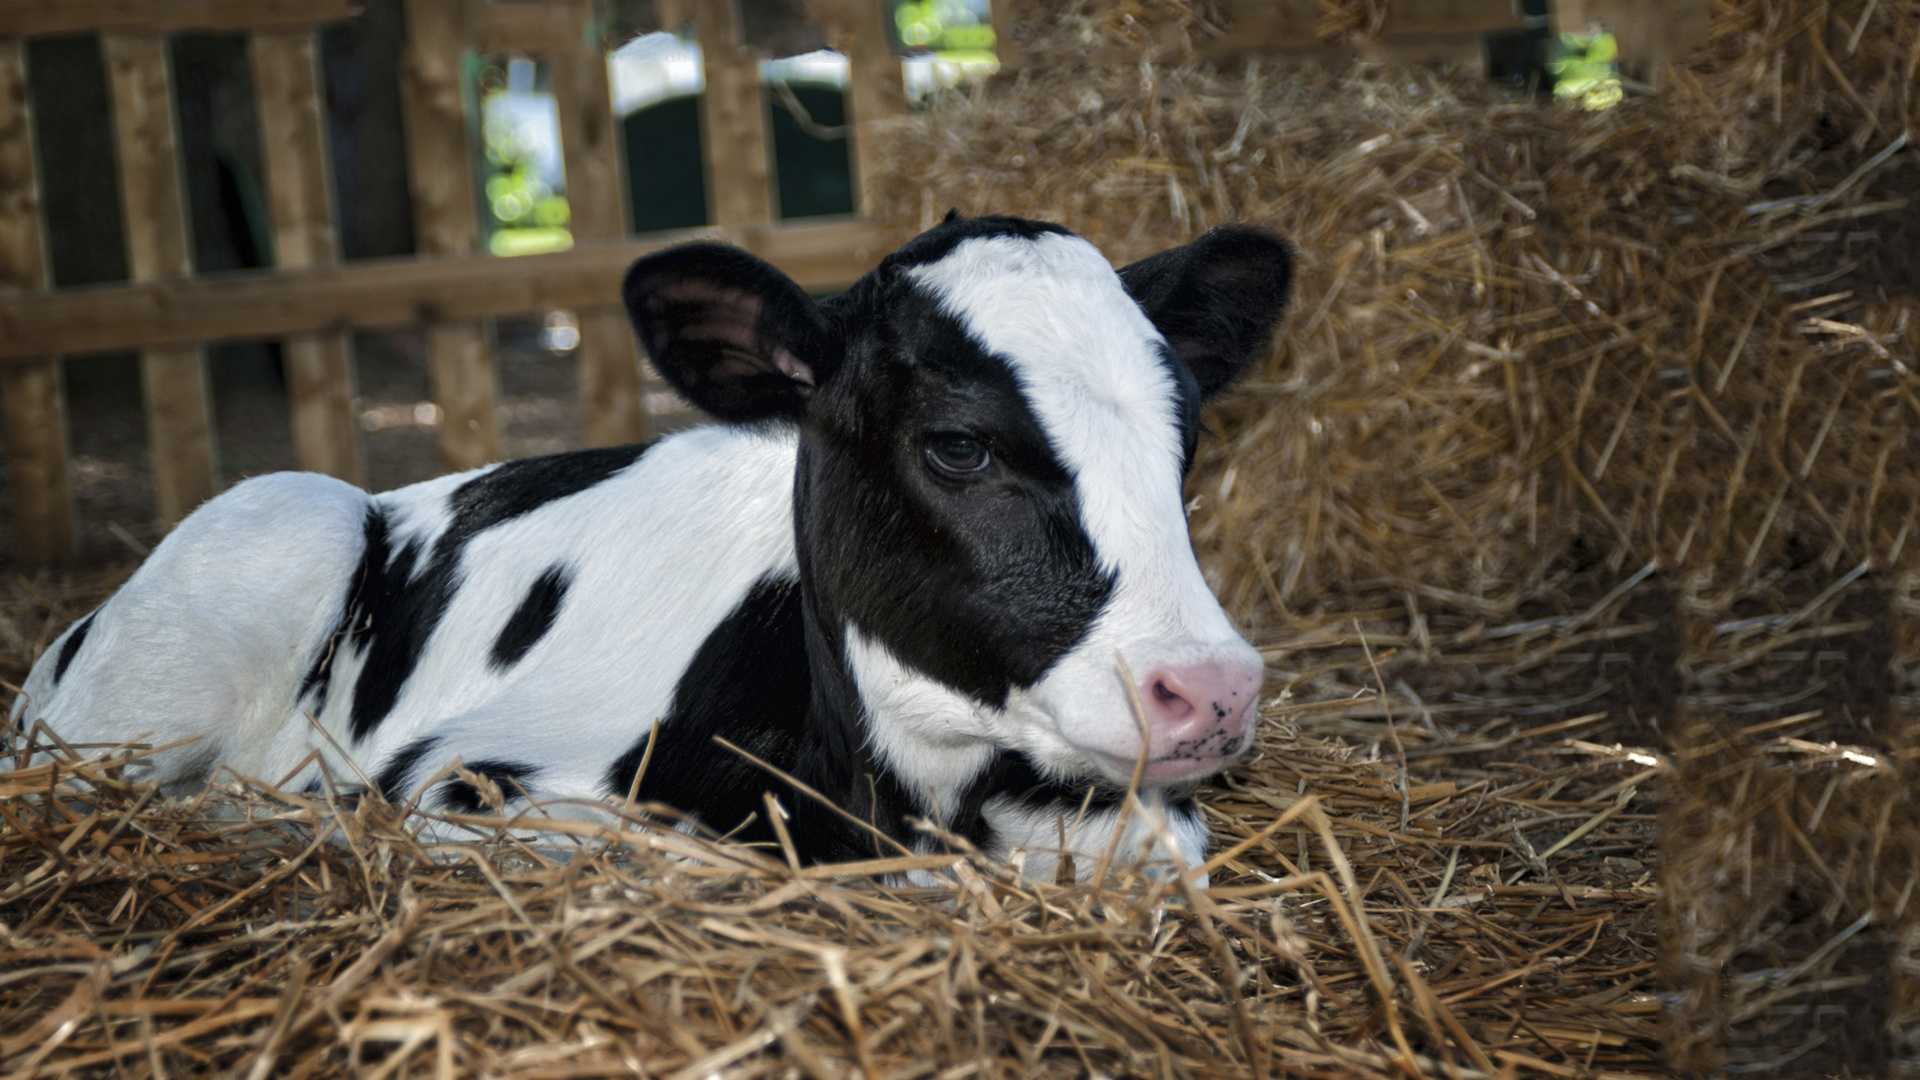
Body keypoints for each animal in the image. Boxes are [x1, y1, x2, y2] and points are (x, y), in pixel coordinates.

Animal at [6, 214, 1293, 883]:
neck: (897, 794)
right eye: (960, 445)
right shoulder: (467, 781)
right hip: (264, 543)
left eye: (1184, 434)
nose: (1213, 689)